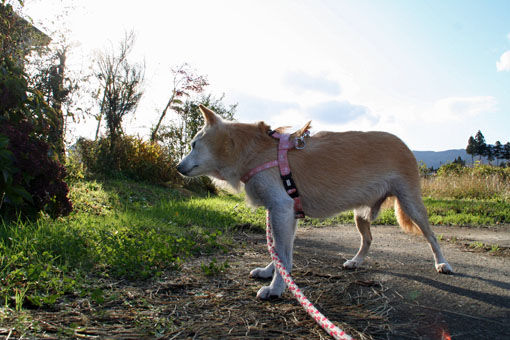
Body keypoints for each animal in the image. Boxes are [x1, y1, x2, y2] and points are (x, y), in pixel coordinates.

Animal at [177, 105, 452, 298]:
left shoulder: (280, 211)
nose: (177, 167)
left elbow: (281, 253)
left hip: (412, 205)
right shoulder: (285, 214)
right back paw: (356, 261)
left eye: (193, 144)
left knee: (432, 236)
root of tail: (403, 143)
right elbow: (280, 250)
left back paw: (442, 263)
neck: (253, 151)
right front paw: (271, 272)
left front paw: (276, 288)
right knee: (368, 239)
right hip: (361, 215)